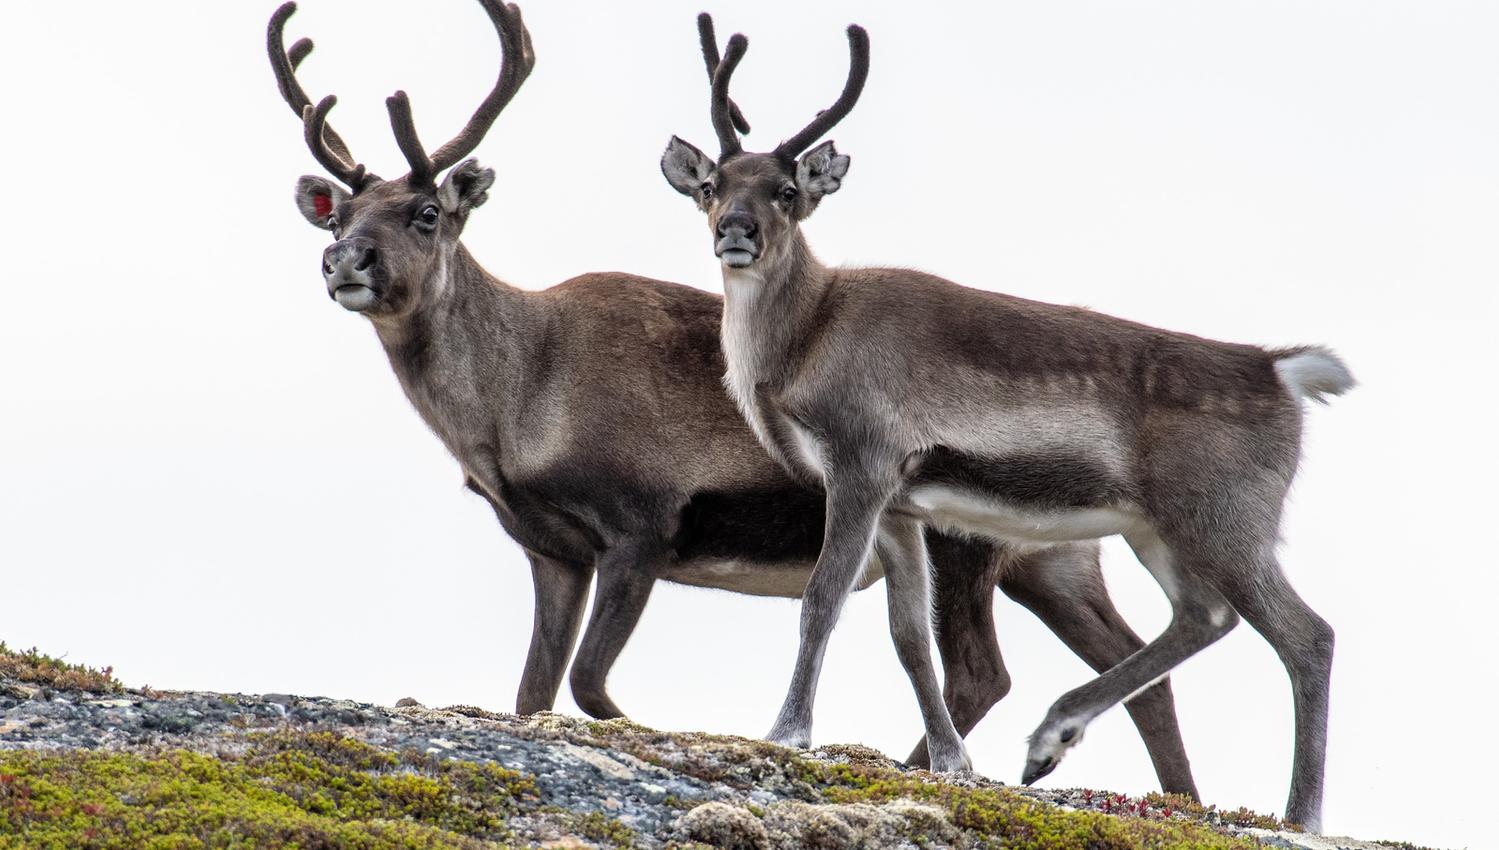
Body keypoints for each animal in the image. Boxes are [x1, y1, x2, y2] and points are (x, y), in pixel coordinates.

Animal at [268, 0, 1204, 797]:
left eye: (426, 212)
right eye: (339, 212)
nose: (342, 262)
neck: (515, 405)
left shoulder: (641, 525)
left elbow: (590, 685)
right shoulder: (550, 548)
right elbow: (531, 696)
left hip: (970, 544)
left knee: (986, 671)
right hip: (1052, 559)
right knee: (1134, 662)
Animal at [661, 18, 1353, 832]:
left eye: (788, 190)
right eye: (712, 185)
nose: (734, 232)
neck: (803, 339)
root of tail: (1280, 370)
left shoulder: (860, 463)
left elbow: (823, 598)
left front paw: (786, 730)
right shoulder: (901, 502)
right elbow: (907, 635)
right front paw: (952, 761)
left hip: (1223, 519)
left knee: (1307, 635)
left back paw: (1301, 815)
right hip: (1159, 529)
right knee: (1204, 617)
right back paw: (1052, 736)